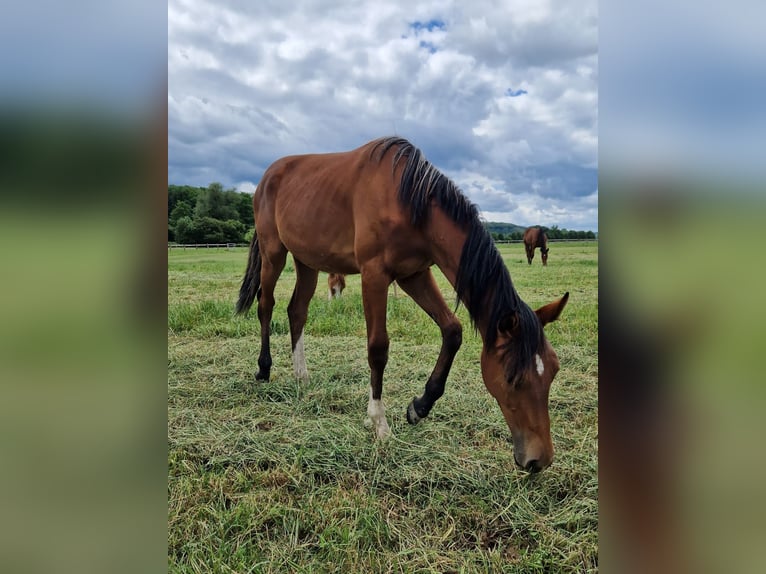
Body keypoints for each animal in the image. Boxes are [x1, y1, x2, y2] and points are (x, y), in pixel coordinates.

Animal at [236, 137, 568, 474]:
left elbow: (452, 330)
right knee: (266, 305)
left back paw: (301, 375)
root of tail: (268, 176)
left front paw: (419, 407)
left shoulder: (414, 275)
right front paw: (379, 423)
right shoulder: (374, 275)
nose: (539, 459)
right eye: (513, 378)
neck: (410, 203)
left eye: (553, 370)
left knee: (297, 310)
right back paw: (264, 369)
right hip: (273, 252)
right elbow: (378, 348)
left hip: (307, 262)